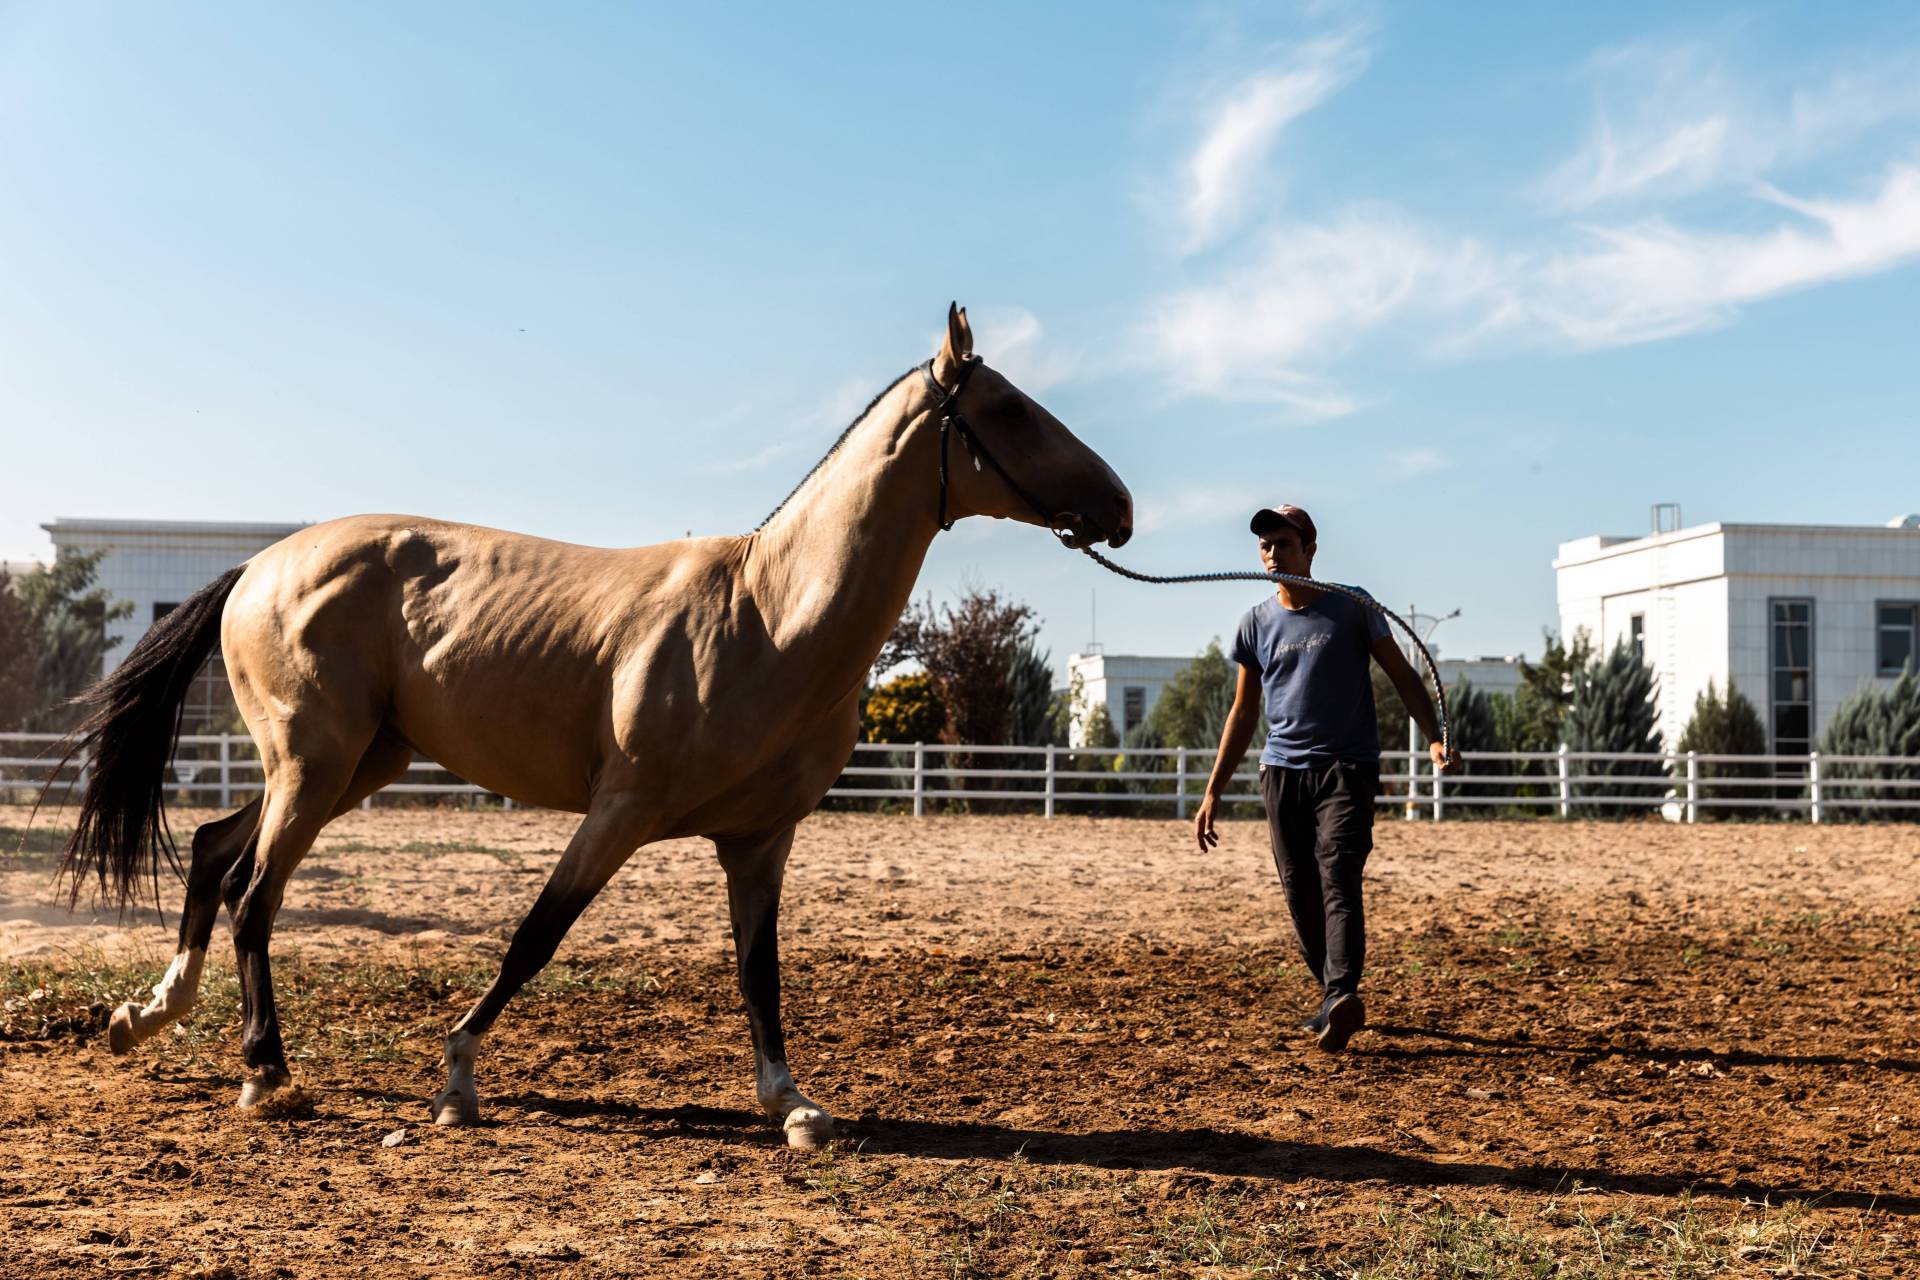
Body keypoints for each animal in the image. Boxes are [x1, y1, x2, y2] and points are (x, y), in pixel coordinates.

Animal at [56, 303, 1121, 1151]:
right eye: (1011, 410)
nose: (1120, 505)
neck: (767, 617)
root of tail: (262, 565)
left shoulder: (760, 841)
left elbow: (760, 973)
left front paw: (792, 1106)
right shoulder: (622, 809)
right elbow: (537, 935)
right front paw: (457, 1079)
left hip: (350, 766)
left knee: (211, 850)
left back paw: (145, 1016)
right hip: (314, 768)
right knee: (253, 890)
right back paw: (266, 1072)